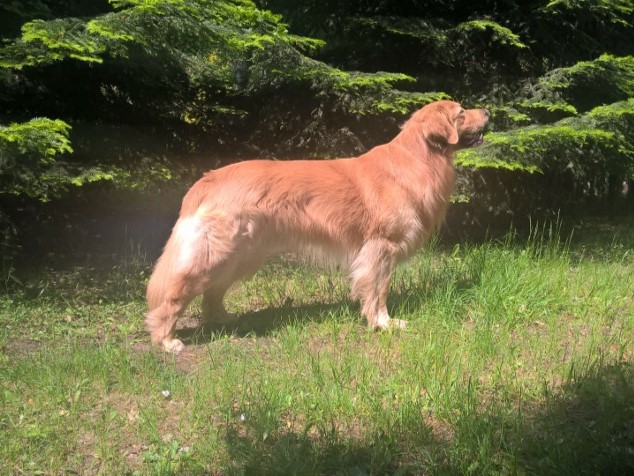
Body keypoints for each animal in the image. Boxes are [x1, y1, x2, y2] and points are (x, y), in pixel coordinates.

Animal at [146, 100, 489, 353]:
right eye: (461, 113)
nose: (488, 112)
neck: (418, 158)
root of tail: (207, 179)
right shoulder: (381, 247)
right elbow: (378, 290)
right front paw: (384, 323)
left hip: (240, 255)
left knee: (212, 293)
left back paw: (224, 320)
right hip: (216, 254)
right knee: (175, 293)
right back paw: (166, 339)